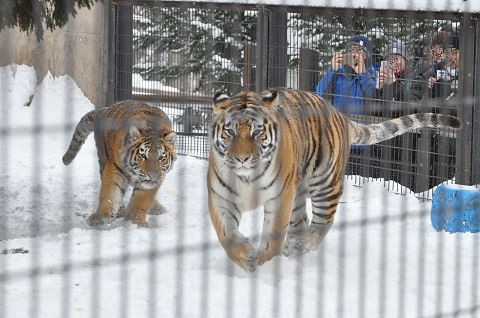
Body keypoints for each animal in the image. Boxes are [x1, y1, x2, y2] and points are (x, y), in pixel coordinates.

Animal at [207, 87, 462, 270]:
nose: (242, 158)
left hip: (324, 184)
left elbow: (273, 237)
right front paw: (246, 257)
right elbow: (226, 236)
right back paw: (294, 247)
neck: (246, 177)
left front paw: (265, 265)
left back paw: (302, 245)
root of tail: (339, 113)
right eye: (229, 131)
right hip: (298, 192)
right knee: (301, 222)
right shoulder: (221, 197)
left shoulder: (279, 198)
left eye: (257, 132)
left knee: (322, 223)